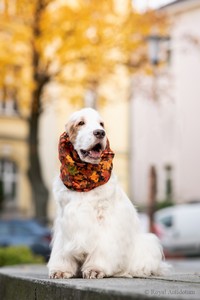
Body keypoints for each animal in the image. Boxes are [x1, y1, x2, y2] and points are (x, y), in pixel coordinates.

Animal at [47, 108, 168, 278]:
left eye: (101, 124)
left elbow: (101, 249)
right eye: (81, 123)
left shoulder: (105, 221)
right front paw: (61, 270)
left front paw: (95, 269)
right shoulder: (65, 221)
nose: (100, 133)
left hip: (147, 244)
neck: (84, 181)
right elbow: (62, 251)